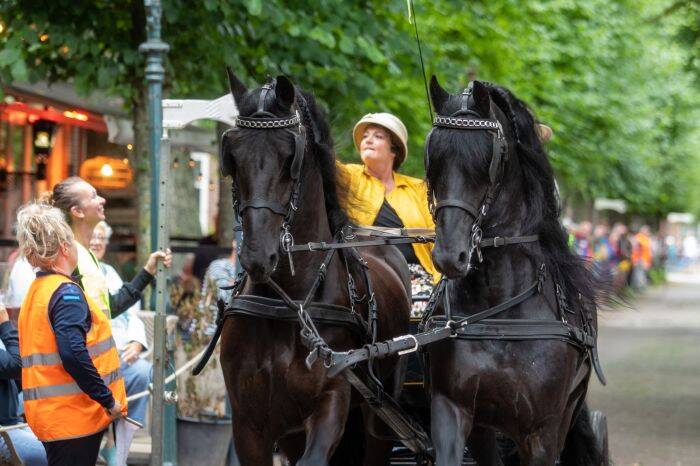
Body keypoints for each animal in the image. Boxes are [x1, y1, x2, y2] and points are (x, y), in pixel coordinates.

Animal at [220, 70, 410, 466]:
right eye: (233, 156)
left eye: (289, 157)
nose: (257, 255)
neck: (290, 305)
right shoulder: (248, 423)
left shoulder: (331, 402)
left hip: (379, 420)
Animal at [424, 77, 604, 466]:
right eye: (433, 158)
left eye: (486, 160)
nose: (449, 255)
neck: (500, 312)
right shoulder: (454, 410)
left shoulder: (541, 431)